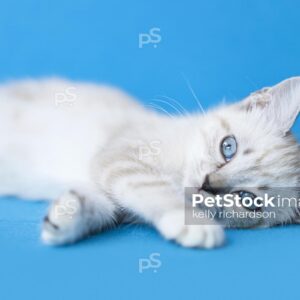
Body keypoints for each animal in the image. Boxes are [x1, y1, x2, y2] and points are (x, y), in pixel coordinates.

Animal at [0, 77, 298, 248]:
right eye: (229, 147)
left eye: (247, 200)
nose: (207, 185)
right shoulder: (122, 156)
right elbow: (155, 190)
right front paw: (194, 224)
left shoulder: (110, 181)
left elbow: (103, 207)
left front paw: (64, 218)